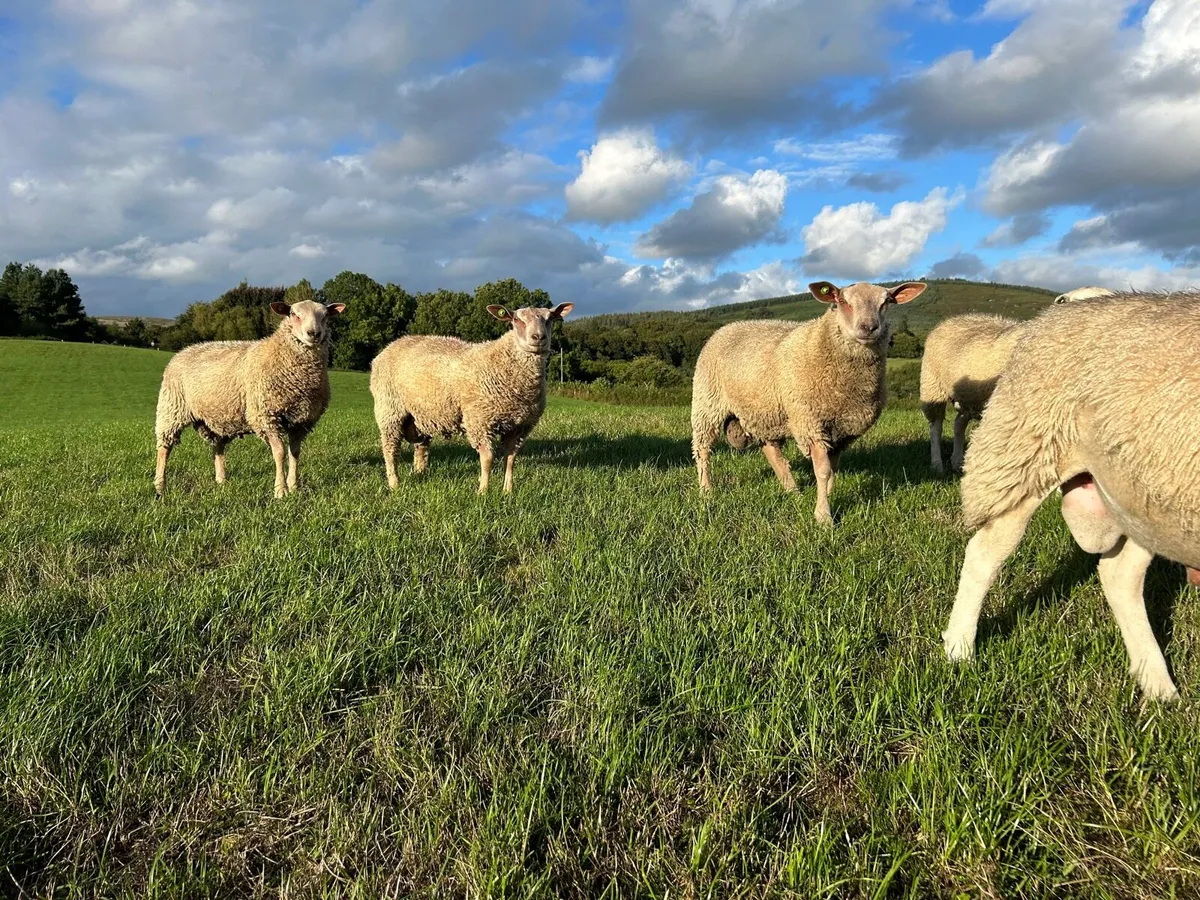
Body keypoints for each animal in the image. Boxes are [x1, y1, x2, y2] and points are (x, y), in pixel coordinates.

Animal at [154, 299, 345, 499]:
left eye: (325, 315)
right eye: (293, 314)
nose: (314, 333)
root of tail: (183, 350)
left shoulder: (302, 421)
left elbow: (295, 453)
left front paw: (294, 487)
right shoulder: (266, 416)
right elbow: (280, 453)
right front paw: (281, 490)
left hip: (215, 417)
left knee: (217, 447)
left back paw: (221, 481)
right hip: (171, 408)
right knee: (164, 448)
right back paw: (160, 486)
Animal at [370, 302, 574, 494]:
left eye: (550, 318)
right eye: (516, 319)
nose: (538, 337)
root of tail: (393, 344)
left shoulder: (520, 426)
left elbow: (510, 458)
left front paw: (508, 490)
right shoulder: (479, 421)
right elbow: (488, 458)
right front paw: (483, 491)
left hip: (421, 415)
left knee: (421, 446)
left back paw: (420, 474)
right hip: (389, 410)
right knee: (390, 449)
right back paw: (394, 483)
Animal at [691, 280, 927, 524]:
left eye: (886, 301)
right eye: (842, 301)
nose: (869, 327)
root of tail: (726, 327)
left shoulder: (841, 430)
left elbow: (832, 470)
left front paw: (828, 497)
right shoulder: (810, 422)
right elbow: (822, 470)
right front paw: (823, 516)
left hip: (765, 413)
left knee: (772, 452)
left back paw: (792, 491)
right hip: (707, 404)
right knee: (702, 450)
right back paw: (706, 491)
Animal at [920, 315, 1029, 474]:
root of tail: (948, 320)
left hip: (970, 399)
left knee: (959, 423)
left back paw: (957, 462)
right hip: (933, 388)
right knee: (936, 428)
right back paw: (937, 465)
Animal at [941, 291, 1200, 701]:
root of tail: (1053, 313)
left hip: (1143, 499)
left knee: (1119, 574)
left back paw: (1158, 686)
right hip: (1023, 456)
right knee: (984, 555)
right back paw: (959, 649)